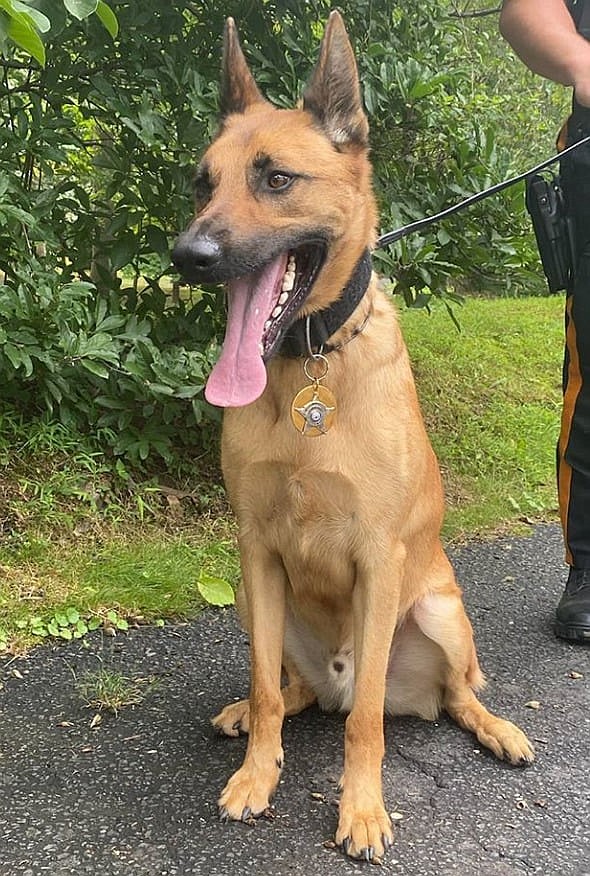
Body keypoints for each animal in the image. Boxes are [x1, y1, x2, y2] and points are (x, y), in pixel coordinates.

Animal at [171, 12, 536, 864]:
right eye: (204, 182)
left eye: (276, 179)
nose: (187, 256)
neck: (311, 365)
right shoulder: (256, 549)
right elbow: (266, 684)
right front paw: (257, 770)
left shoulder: (378, 557)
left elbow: (368, 719)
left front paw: (363, 809)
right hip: (254, 599)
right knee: (295, 688)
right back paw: (257, 712)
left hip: (438, 613)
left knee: (448, 694)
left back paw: (496, 728)